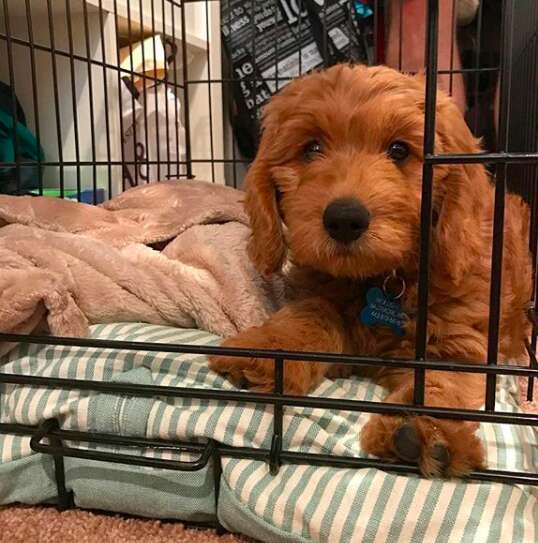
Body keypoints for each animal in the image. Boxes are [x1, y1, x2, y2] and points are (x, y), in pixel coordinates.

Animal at [207, 63, 528, 478]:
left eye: (399, 150)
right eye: (311, 148)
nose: (344, 219)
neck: (382, 280)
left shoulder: (461, 345)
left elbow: (441, 380)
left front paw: (423, 429)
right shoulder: (318, 292)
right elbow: (309, 317)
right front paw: (266, 347)